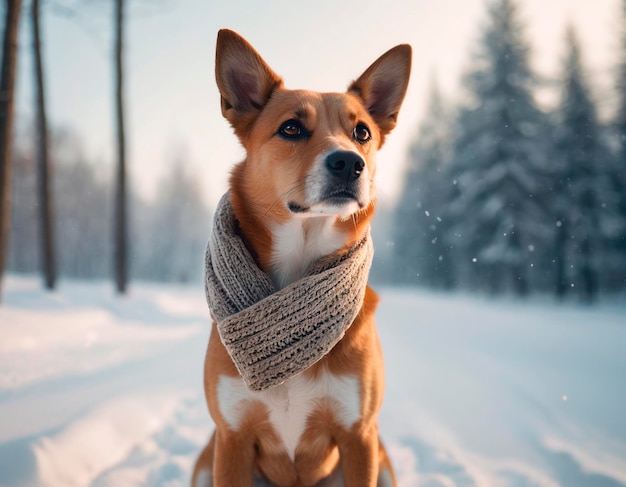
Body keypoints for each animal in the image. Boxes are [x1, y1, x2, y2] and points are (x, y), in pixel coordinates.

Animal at [193, 28, 412, 486]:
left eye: (362, 132)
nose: (349, 163)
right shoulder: (233, 436)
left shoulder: (359, 435)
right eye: (291, 128)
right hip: (206, 461)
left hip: (382, 462)